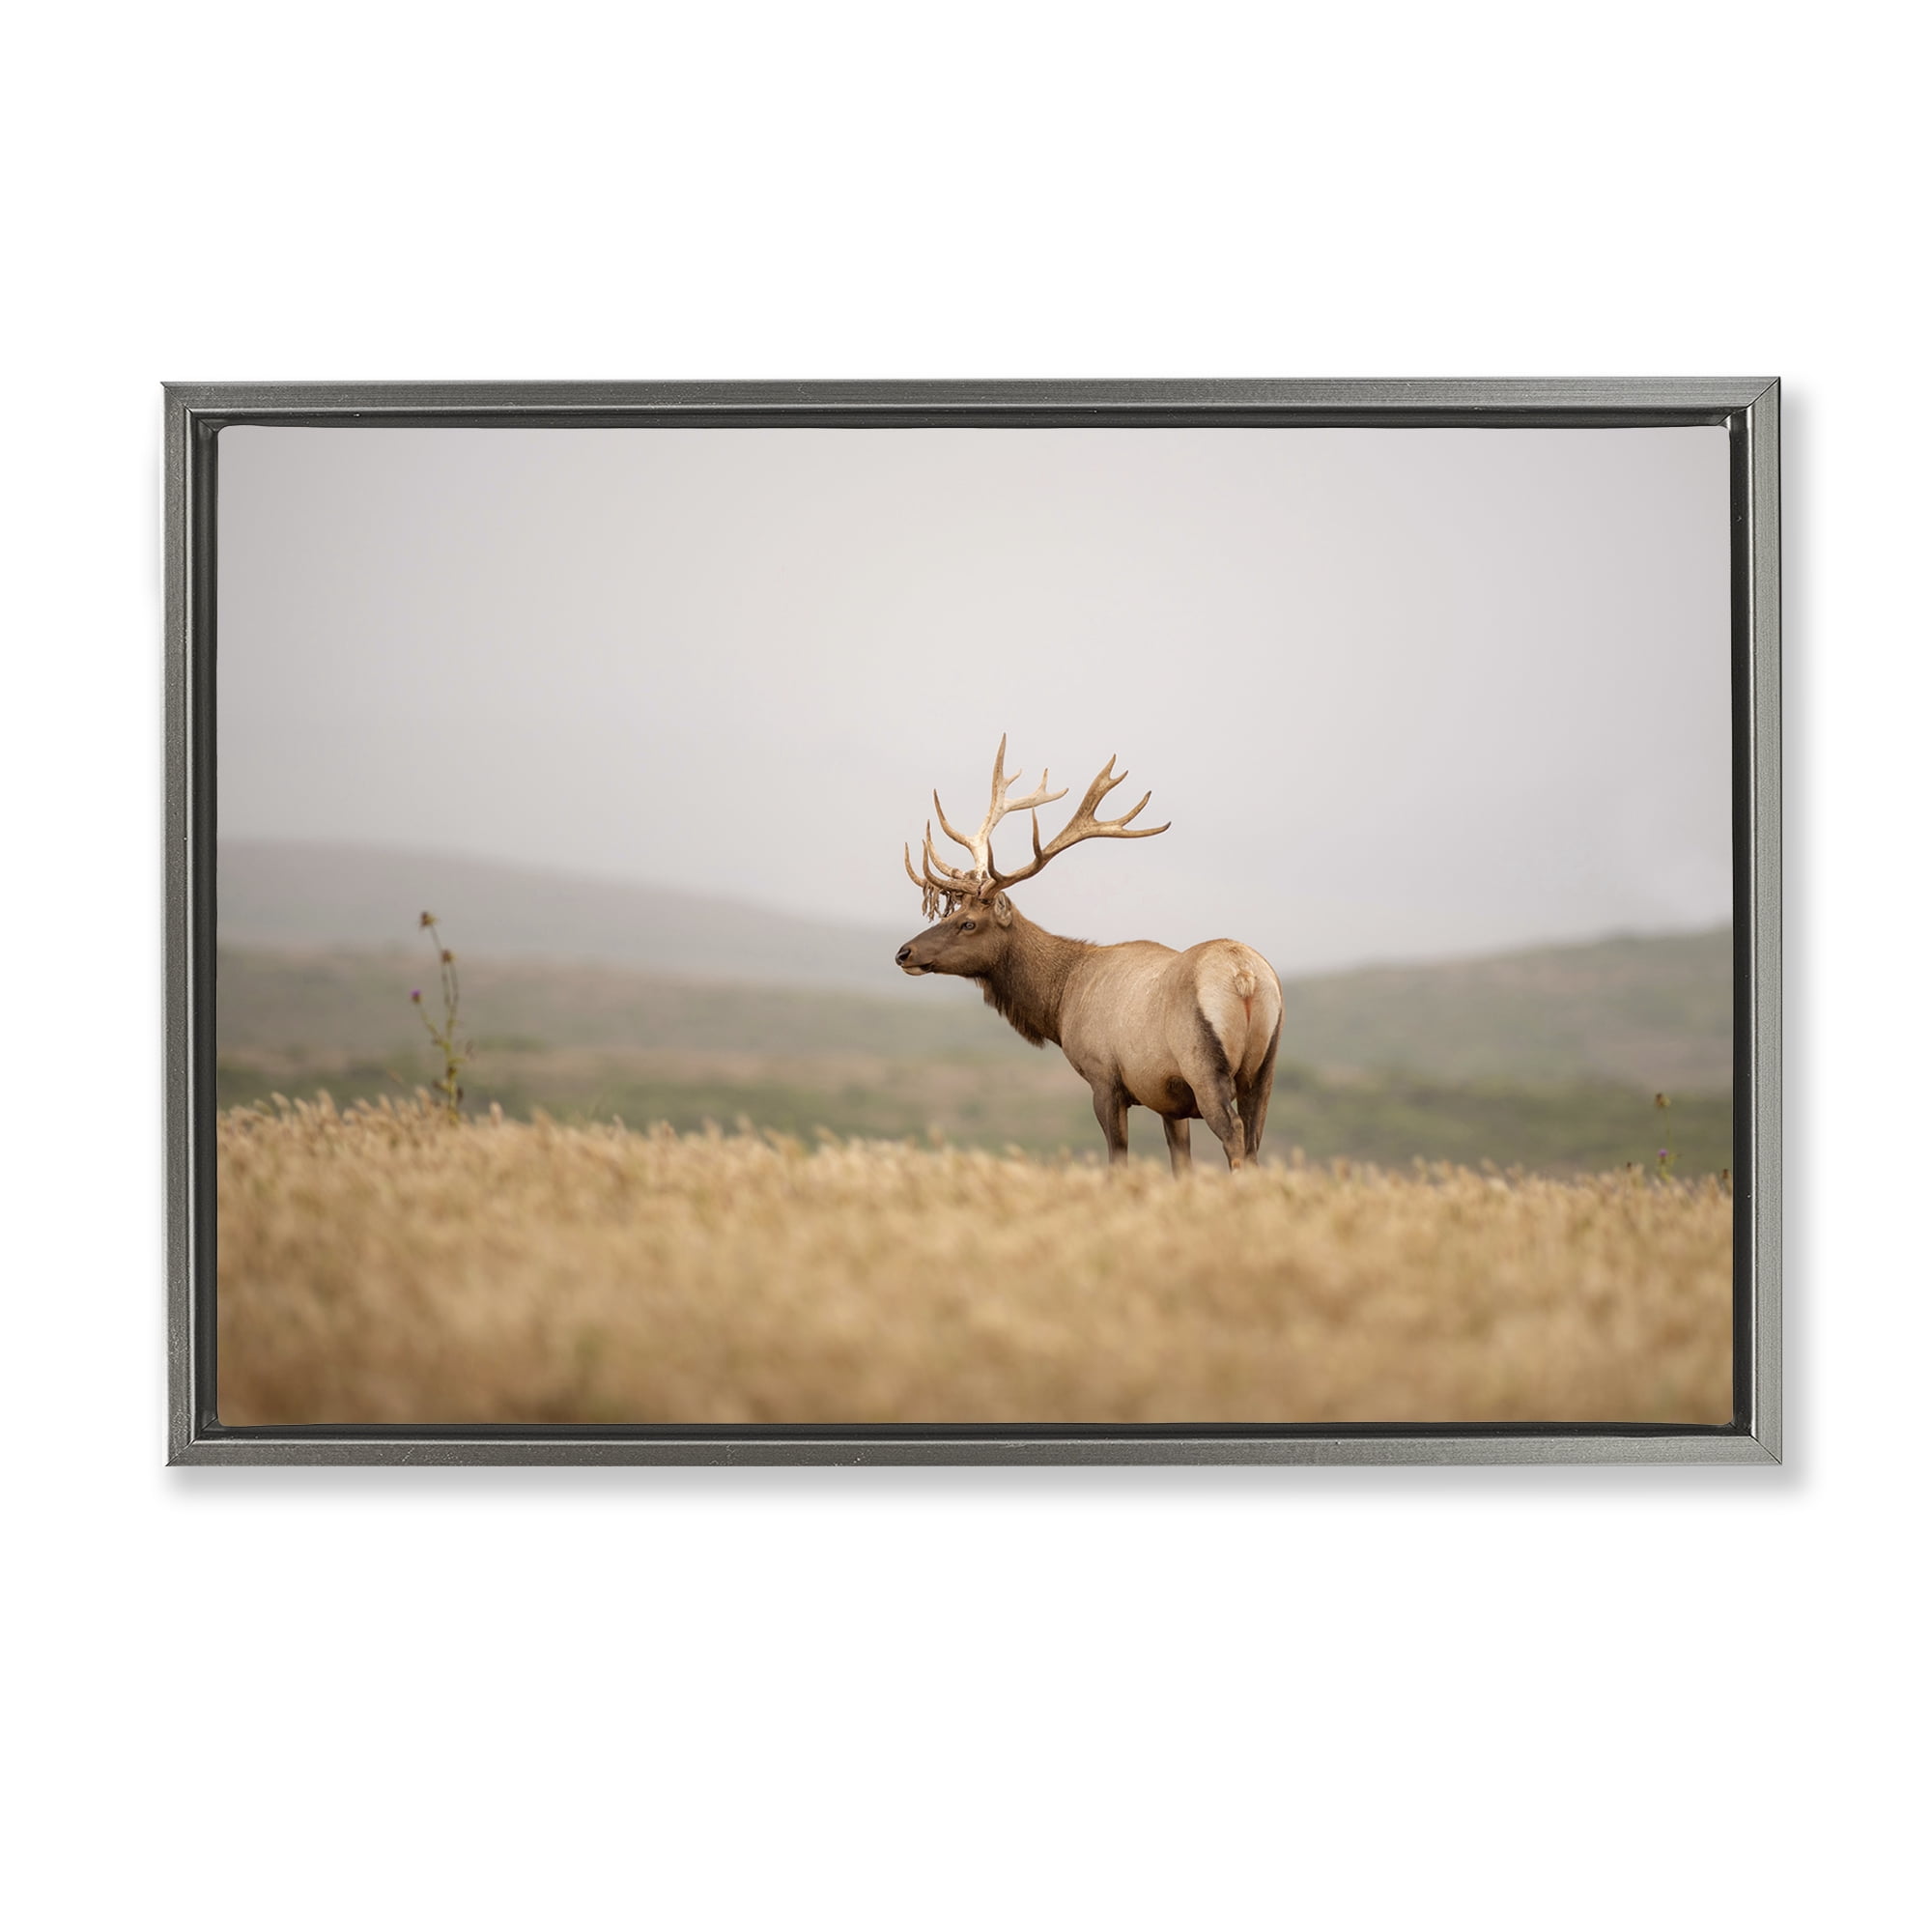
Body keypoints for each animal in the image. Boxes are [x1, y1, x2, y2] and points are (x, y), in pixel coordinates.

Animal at [897, 738, 1283, 1176]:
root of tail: (1244, 975)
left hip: (1204, 1064)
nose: (904, 952)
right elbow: (1180, 1165)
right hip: (1264, 1068)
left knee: (1234, 1137)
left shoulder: (1104, 1078)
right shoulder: (1168, 1098)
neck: (1060, 1000)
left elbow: (1118, 1160)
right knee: (1253, 1142)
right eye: (950, 913)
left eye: (968, 923)